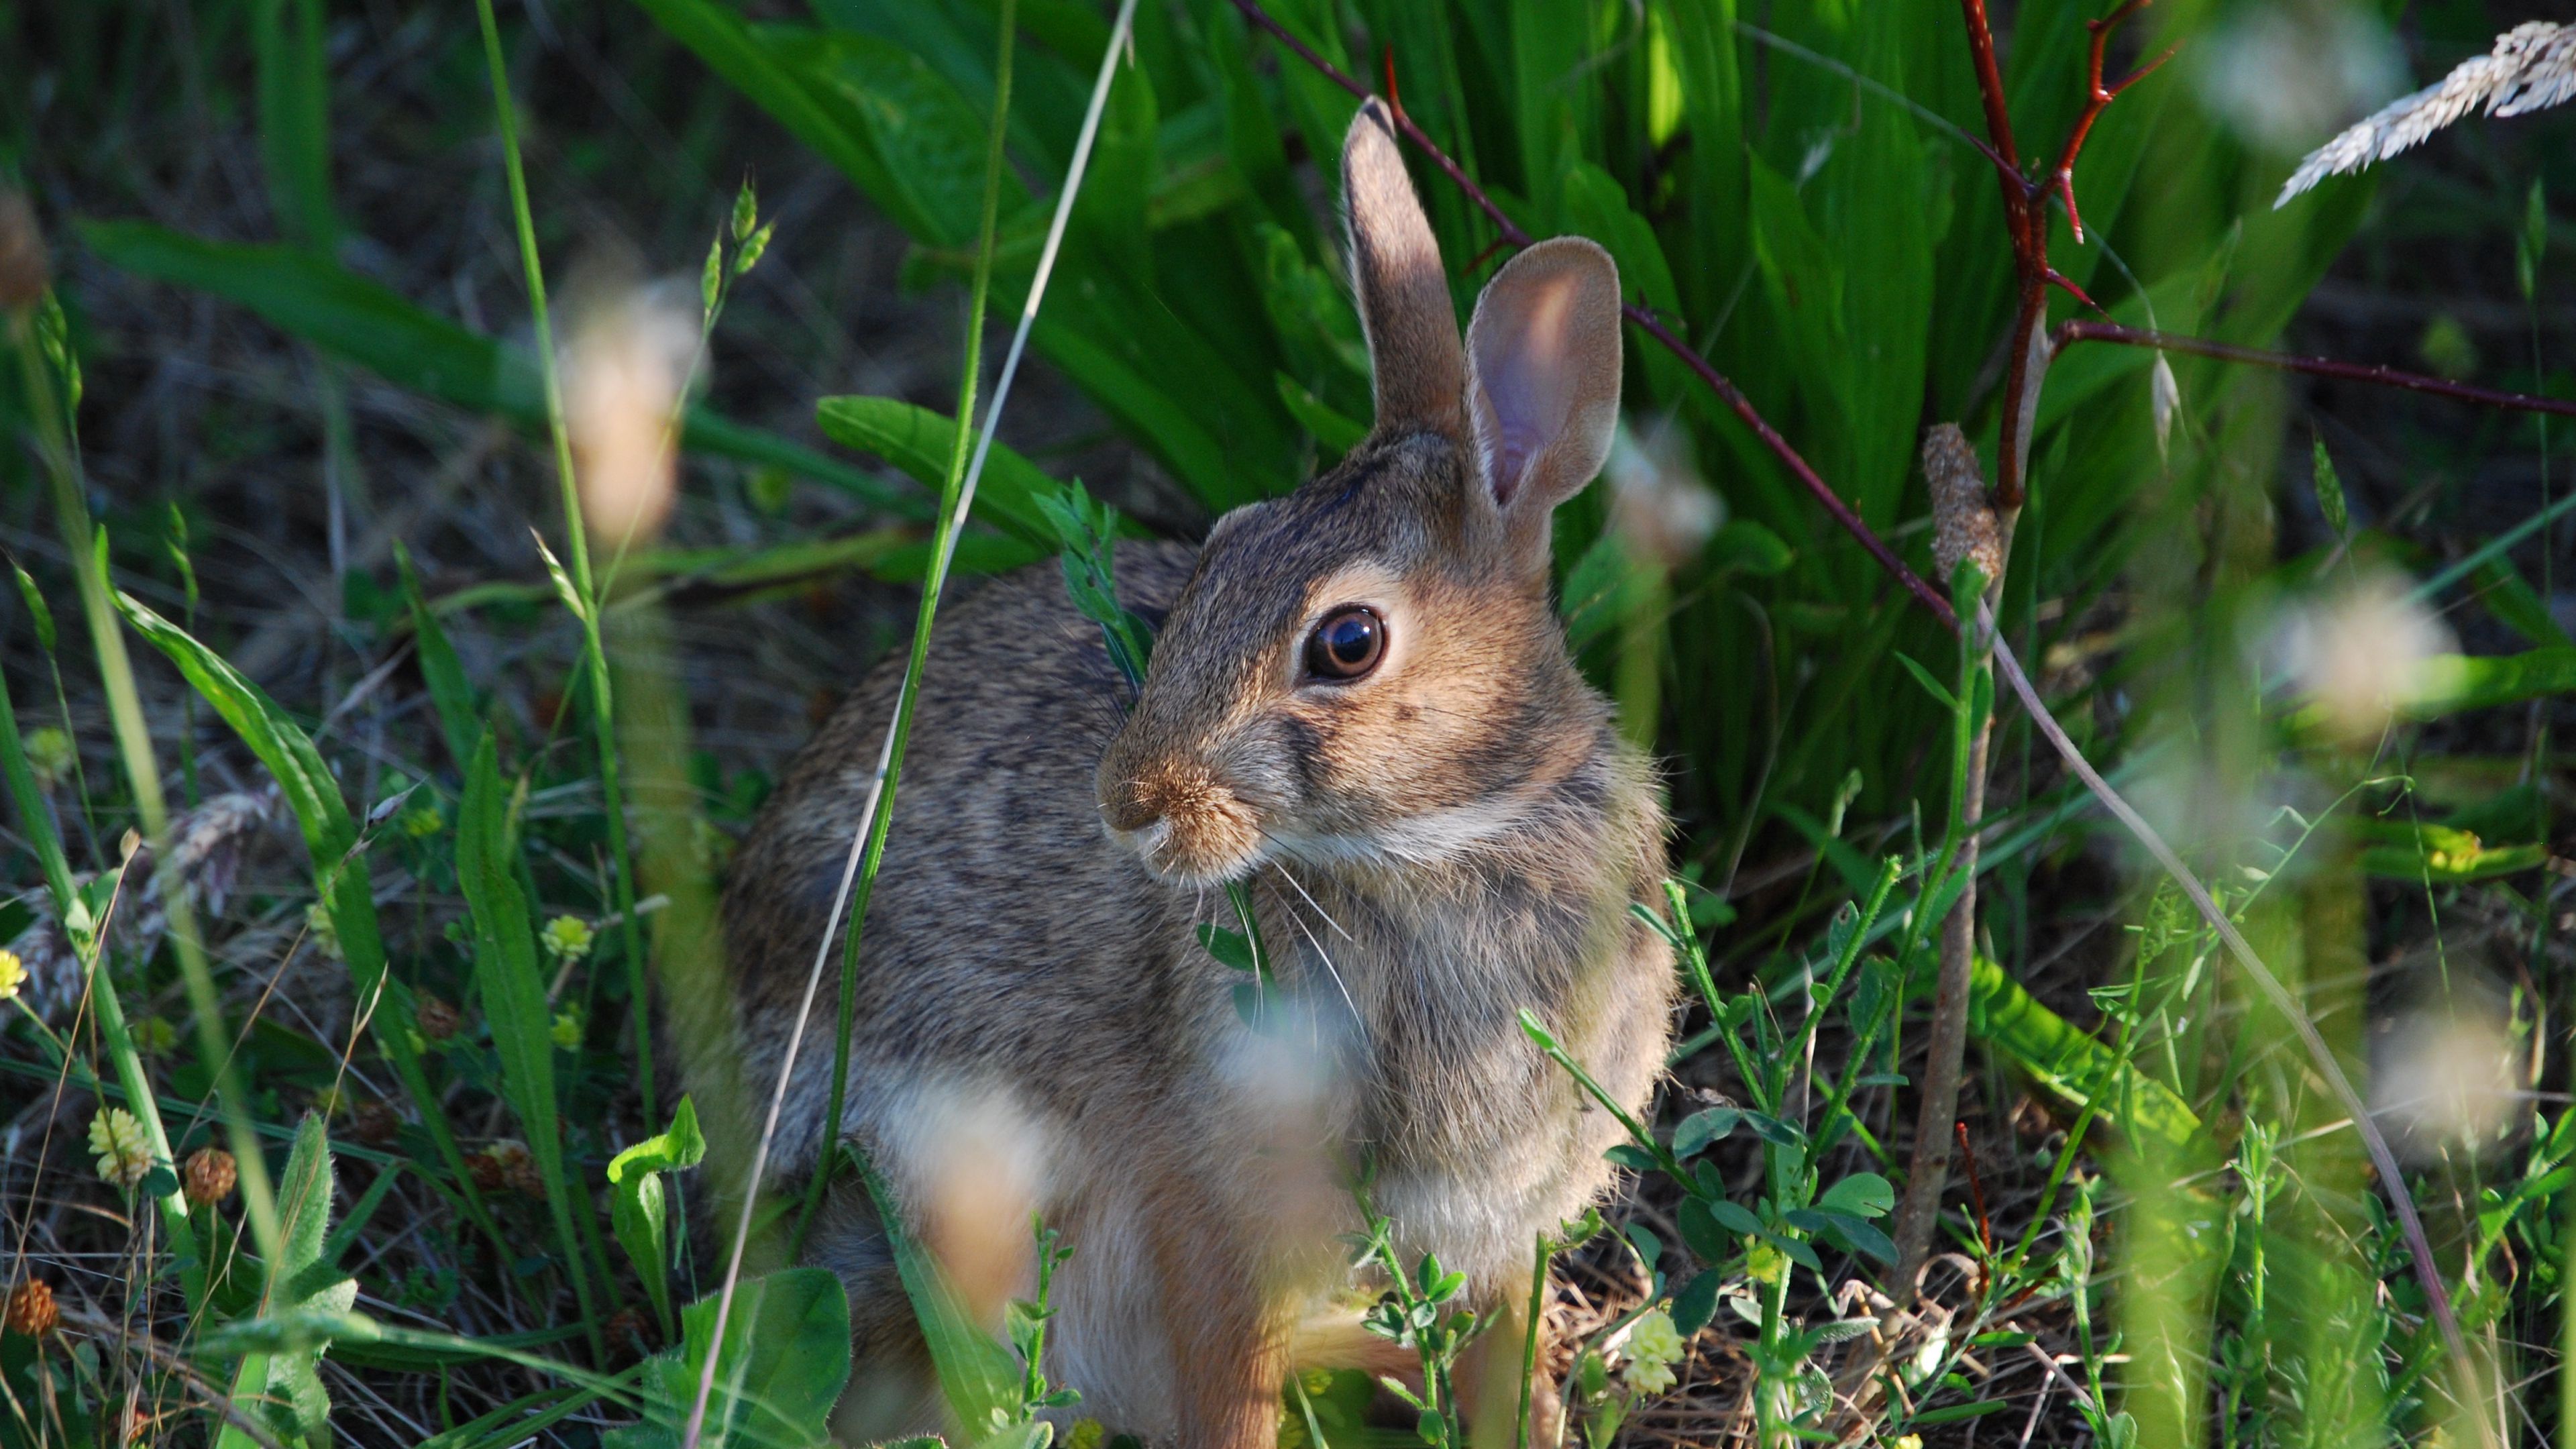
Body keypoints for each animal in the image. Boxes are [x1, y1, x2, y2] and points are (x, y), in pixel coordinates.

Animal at [726, 96, 1679, 1433]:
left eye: (1348, 642)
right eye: (1218, 551)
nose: (1128, 806)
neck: (1445, 839)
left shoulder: (1503, 1218)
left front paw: (1523, 1417)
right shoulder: (1212, 1206)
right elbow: (1231, 1387)